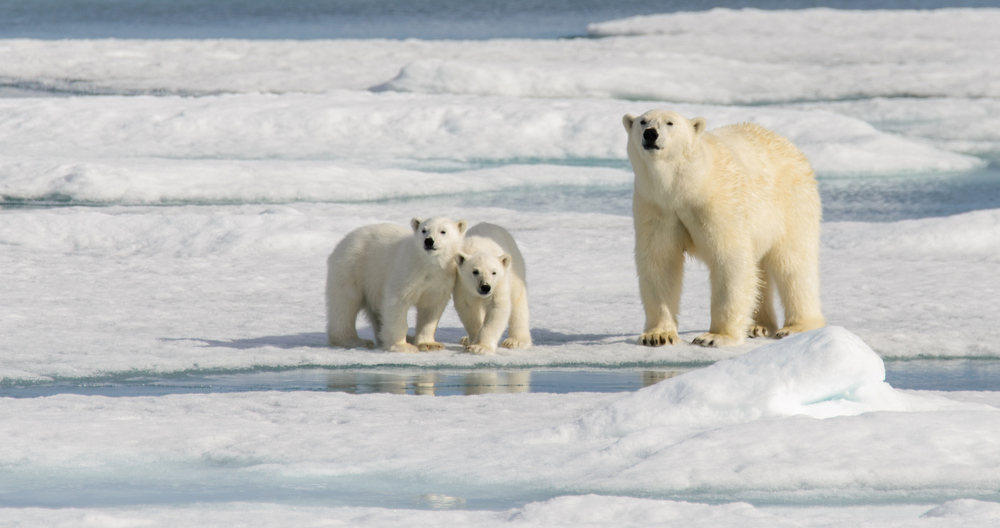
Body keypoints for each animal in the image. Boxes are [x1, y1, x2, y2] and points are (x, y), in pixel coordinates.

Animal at [328, 217, 468, 352]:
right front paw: (402, 346)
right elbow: (397, 301)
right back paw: (355, 340)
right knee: (345, 303)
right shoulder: (407, 270)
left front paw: (429, 344)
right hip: (353, 266)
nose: (429, 241)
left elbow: (431, 308)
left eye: (443, 231)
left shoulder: (441, 279)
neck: (428, 264)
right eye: (424, 230)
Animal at [454, 223, 532, 354]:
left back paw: (516, 341)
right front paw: (472, 341)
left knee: (517, 300)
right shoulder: (462, 283)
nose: (485, 287)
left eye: (494, 272)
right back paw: (464, 339)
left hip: (515, 267)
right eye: (475, 271)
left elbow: (497, 307)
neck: (479, 248)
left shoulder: (499, 283)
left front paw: (479, 347)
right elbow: (468, 308)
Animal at [620, 108, 824, 346]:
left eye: (670, 123)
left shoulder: (717, 201)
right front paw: (658, 335)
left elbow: (729, 259)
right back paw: (757, 326)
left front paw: (714, 337)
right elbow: (659, 261)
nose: (651, 134)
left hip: (792, 203)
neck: (685, 186)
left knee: (793, 264)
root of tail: (792, 148)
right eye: (643, 121)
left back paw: (796, 327)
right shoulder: (656, 208)